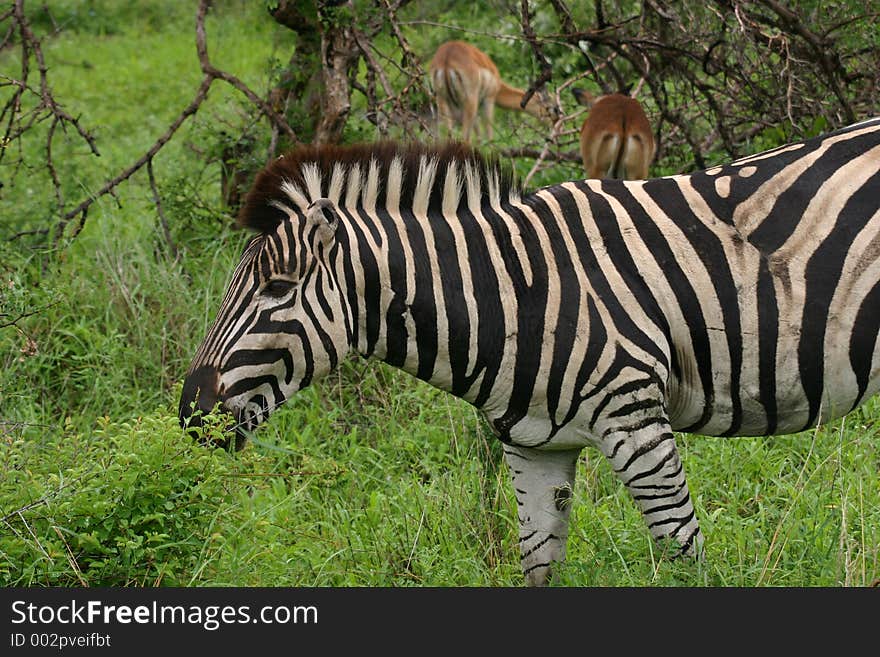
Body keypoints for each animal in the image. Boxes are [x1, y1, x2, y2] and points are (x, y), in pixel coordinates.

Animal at [179, 118, 880, 584]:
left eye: (276, 289)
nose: (190, 415)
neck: (518, 294)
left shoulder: (635, 420)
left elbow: (684, 558)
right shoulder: (535, 446)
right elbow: (538, 568)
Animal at [428, 40, 556, 142]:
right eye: (553, 108)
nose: (555, 128)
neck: (499, 86)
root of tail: (447, 58)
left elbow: (479, 136)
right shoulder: (488, 99)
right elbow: (489, 134)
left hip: (443, 102)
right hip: (470, 103)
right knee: (465, 139)